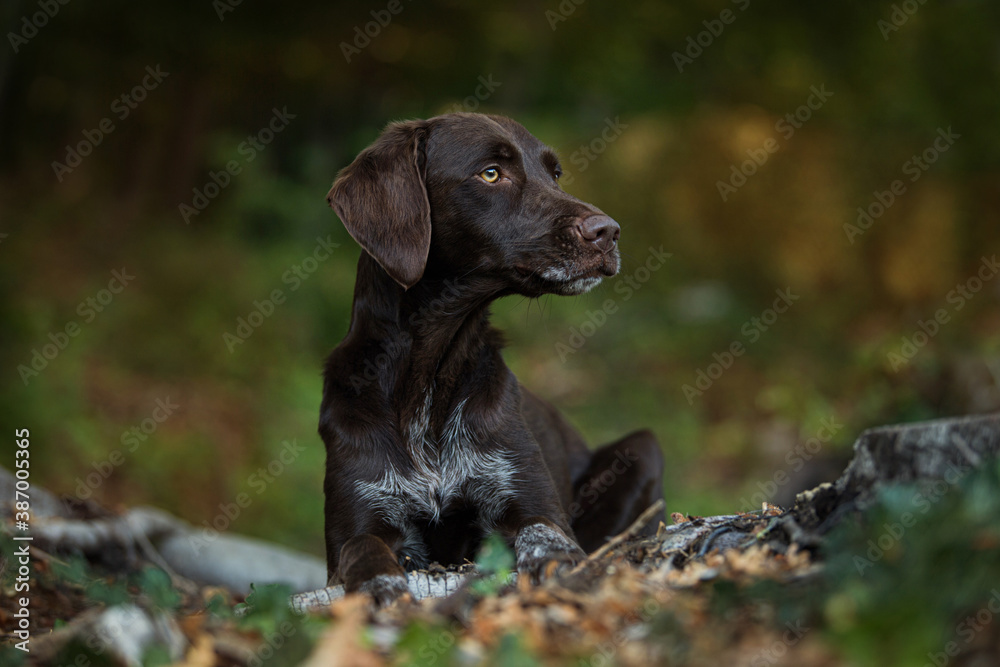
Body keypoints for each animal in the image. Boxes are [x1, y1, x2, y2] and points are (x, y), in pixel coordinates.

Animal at [320, 112, 664, 604]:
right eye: (490, 173)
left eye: (555, 174)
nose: (609, 232)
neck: (429, 375)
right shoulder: (357, 525)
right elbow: (363, 552)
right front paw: (381, 586)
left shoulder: (527, 501)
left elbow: (545, 533)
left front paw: (559, 565)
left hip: (643, 448)